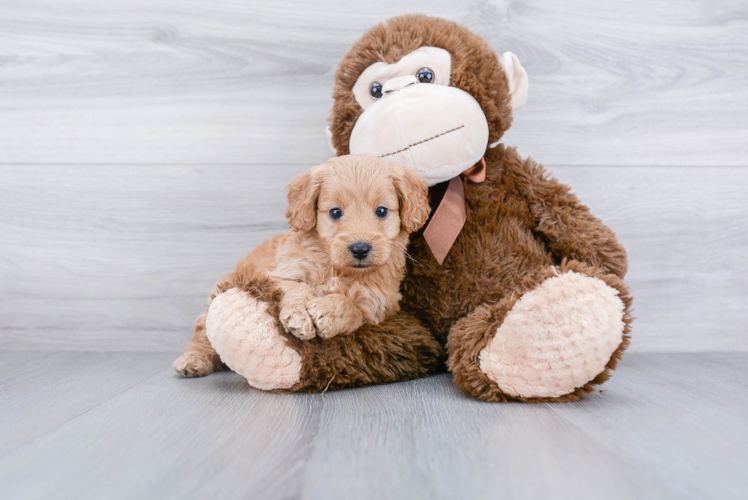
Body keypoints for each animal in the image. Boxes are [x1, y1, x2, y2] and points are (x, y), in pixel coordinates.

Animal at [174, 154, 426, 376]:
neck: (335, 267)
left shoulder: (379, 303)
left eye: (381, 211)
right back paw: (193, 360)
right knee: (201, 331)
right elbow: (297, 287)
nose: (360, 249)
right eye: (335, 212)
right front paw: (299, 317)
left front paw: (328, 312)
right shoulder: (281, 274)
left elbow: (353, 308)